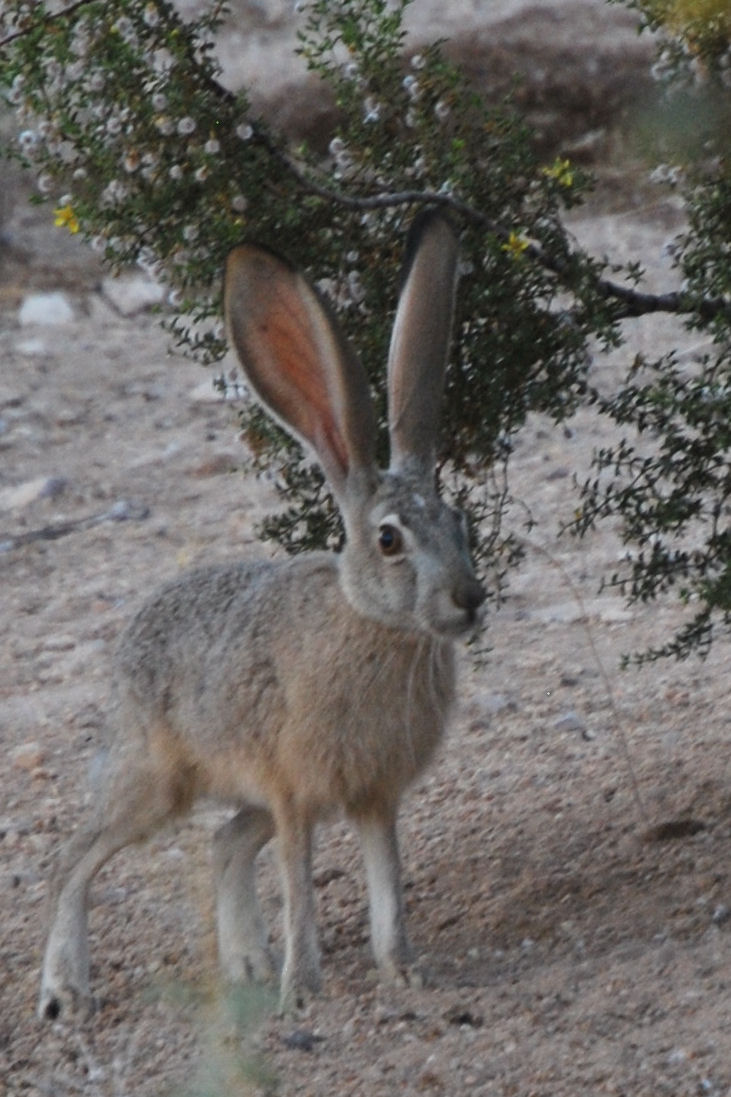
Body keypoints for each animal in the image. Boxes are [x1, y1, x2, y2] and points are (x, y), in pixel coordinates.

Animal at [38, 210, 486, 1020]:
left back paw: (244, 964)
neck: (372, 625)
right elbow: (300, 888)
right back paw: (63, 991)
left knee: (222, 843)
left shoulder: (371, 795)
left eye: (461, 522)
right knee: (74, 858)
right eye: (389, 540)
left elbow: (388, 884)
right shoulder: (294, 792)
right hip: (152, 784)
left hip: (232, 794)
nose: (469, 599)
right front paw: (302, 989)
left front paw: (404, 972)